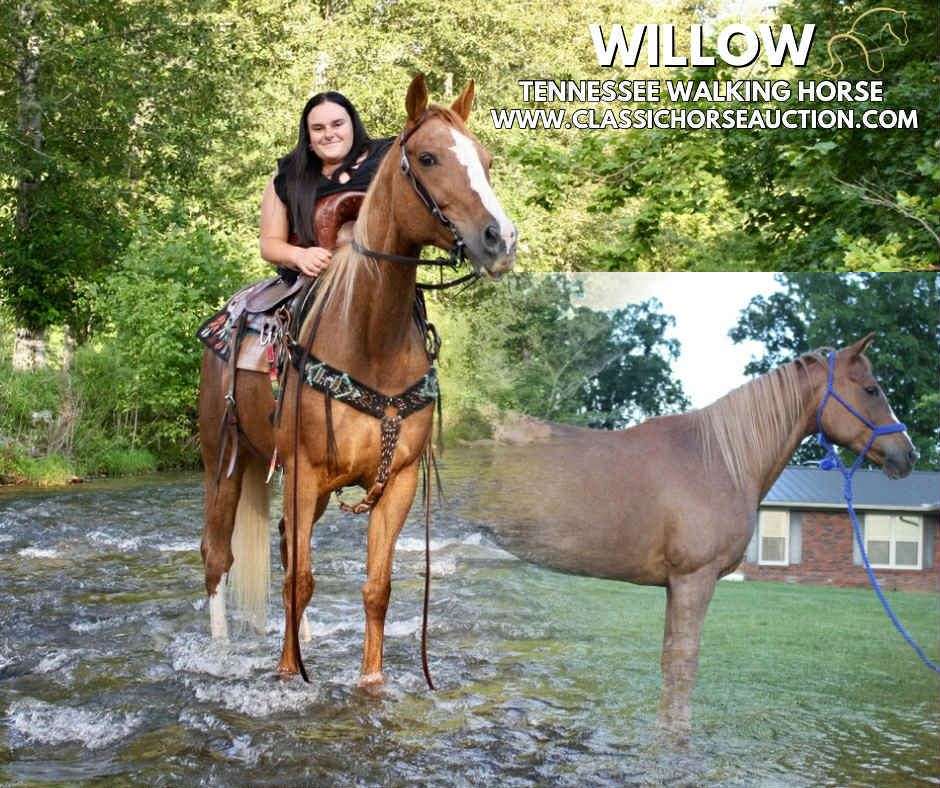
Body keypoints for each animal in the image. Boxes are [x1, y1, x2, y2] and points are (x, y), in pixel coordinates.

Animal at [198, 74, 517, 686]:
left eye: (487, 160)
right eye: (428, 157)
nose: (500, 240)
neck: (370, 338)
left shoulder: (398, 483)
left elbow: (376, 588)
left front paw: (371, 682)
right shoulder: (301, 474)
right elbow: (299, 580)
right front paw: (288, 676)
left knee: (281, 548)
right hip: (224, 460)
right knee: (217, 555)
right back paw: (221, 652)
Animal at [470, 335, 917, 733]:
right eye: (871, 389)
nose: (908, 454)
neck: (717, 459)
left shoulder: (675, 585)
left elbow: (669, 660)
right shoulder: (694, 579)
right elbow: (684, 665)